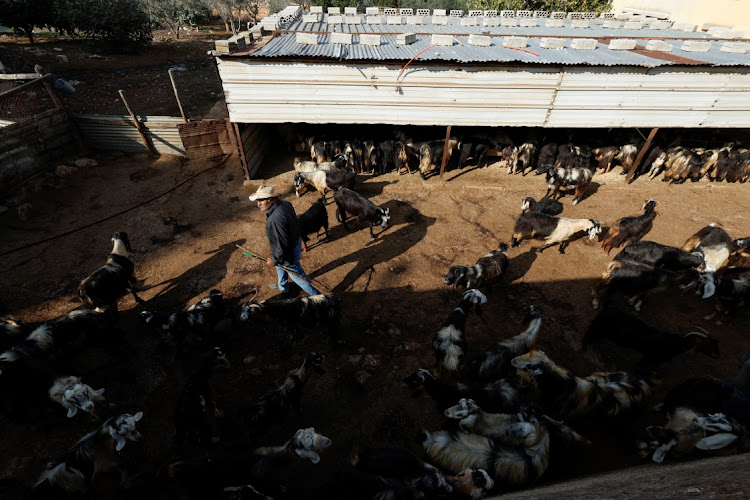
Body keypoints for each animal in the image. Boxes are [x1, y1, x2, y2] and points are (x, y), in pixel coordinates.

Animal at [580, 306, 724, 366]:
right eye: (708, 345)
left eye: (716, 343)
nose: (718, 356)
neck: (674, 343)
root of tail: (606, 310)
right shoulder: (650, 357)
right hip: (598, 328)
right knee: (587, 335)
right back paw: (584, 349)